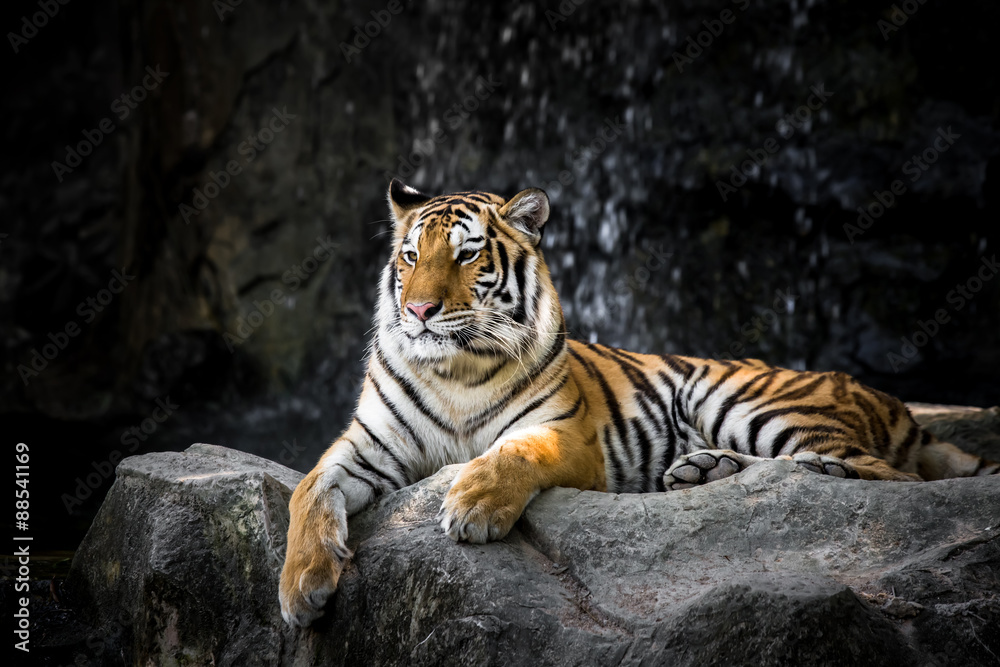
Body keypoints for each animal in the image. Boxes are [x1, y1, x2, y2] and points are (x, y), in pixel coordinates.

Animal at [279, 179, 999, 627]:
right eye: (408, 256)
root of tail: (889, 398)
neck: (453, 368)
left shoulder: (564, 434)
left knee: (889, 474)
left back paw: (817, 468)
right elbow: (309, 491)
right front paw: (301, 588)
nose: (420, 310)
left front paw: (473, 508)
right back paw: (701, 470)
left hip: (740, 398)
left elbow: (511, 453)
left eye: (465, 256)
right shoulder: (367, 444)